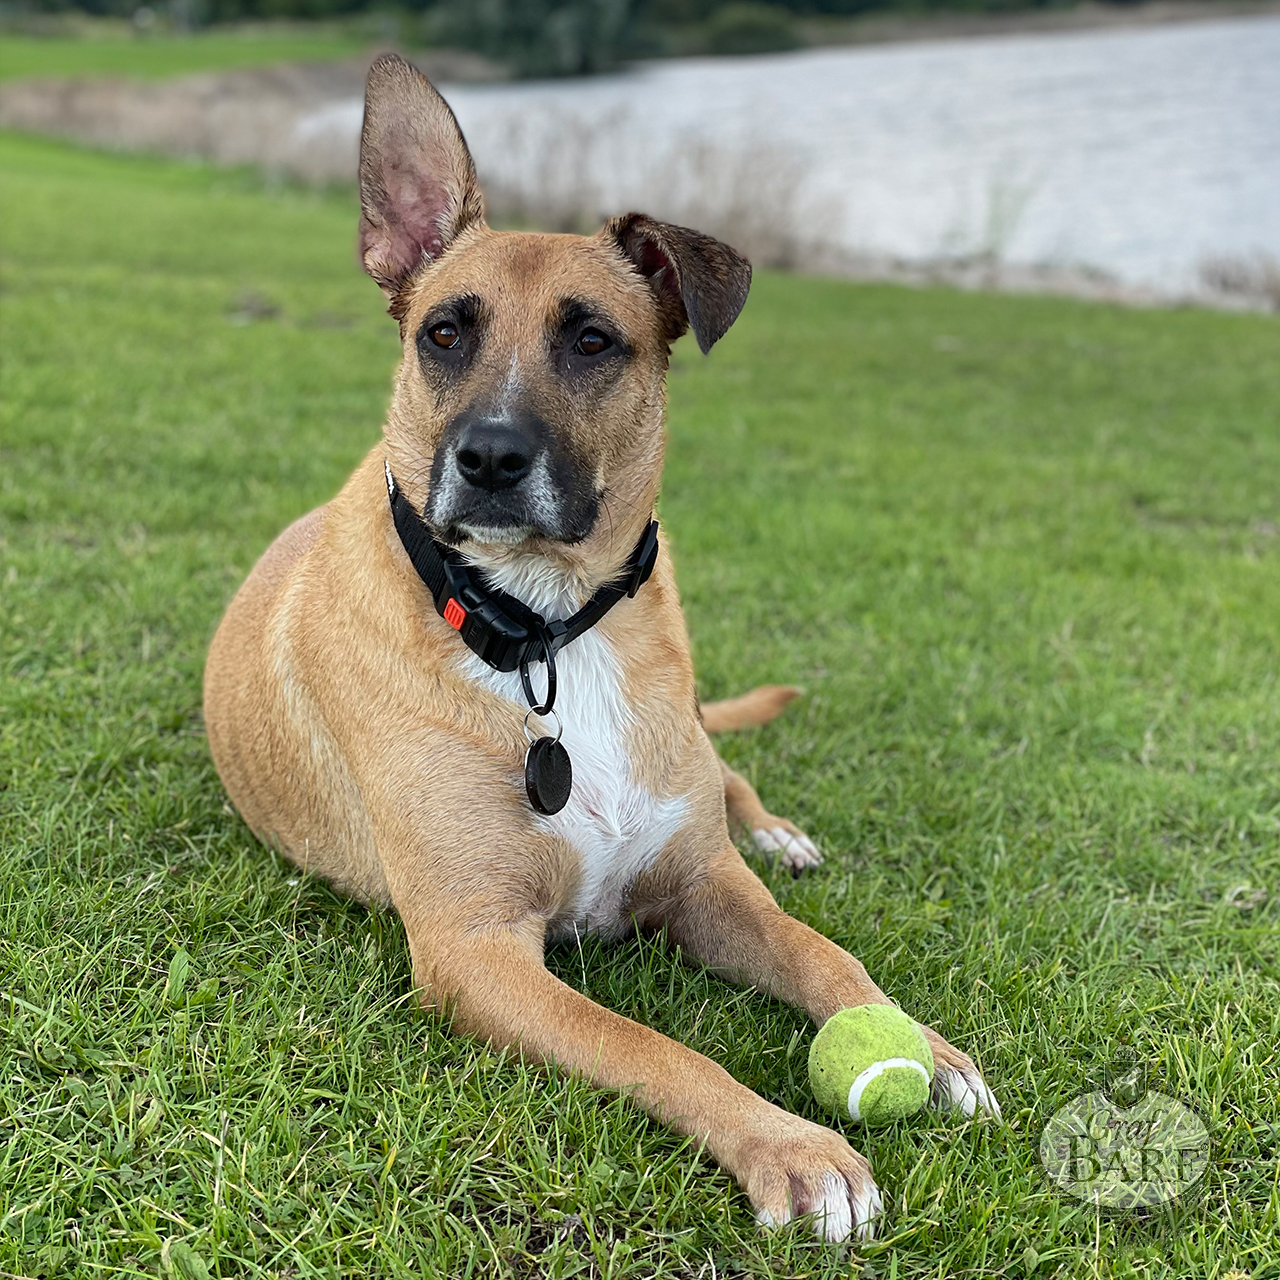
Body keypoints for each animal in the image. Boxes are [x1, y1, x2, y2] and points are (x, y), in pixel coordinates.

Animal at [202, 55, 998, 1244]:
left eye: (591, 340)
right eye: (444, 333)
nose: (488, 458)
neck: (543, 629)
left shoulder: (701, 881)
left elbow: (822, 950)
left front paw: (924, 1045)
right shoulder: (476, 951)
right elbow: (657, 1046)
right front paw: (792, 1147)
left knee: (730, 770)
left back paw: (778, 831)